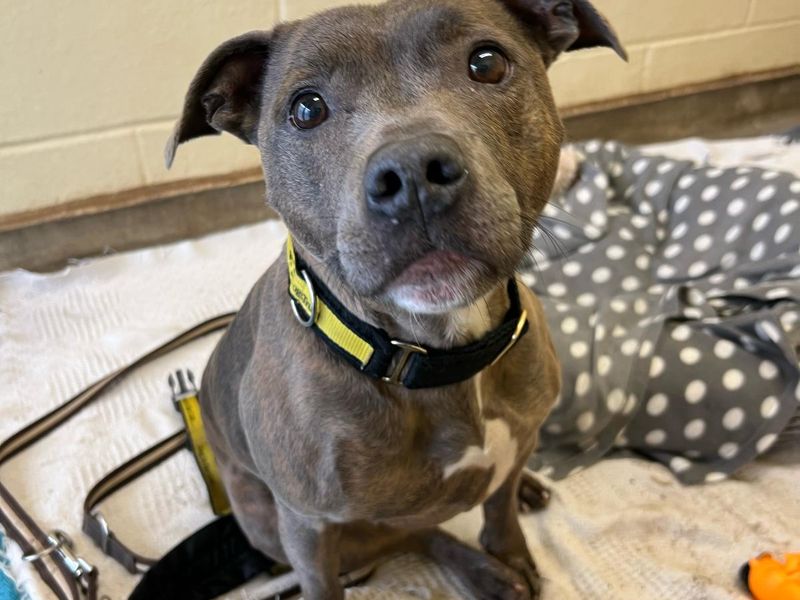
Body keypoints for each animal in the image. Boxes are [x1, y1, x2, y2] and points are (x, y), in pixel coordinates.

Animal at [164, 2, 624, 596]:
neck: (435, 357)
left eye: (488, 62)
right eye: (306, 108)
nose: (411, 173)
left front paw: (511, 546)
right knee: (413, 534)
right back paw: (483, 573)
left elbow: (499, 505)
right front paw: (500, 560)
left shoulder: (520, 431)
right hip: (273, 525)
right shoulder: (308, 530)